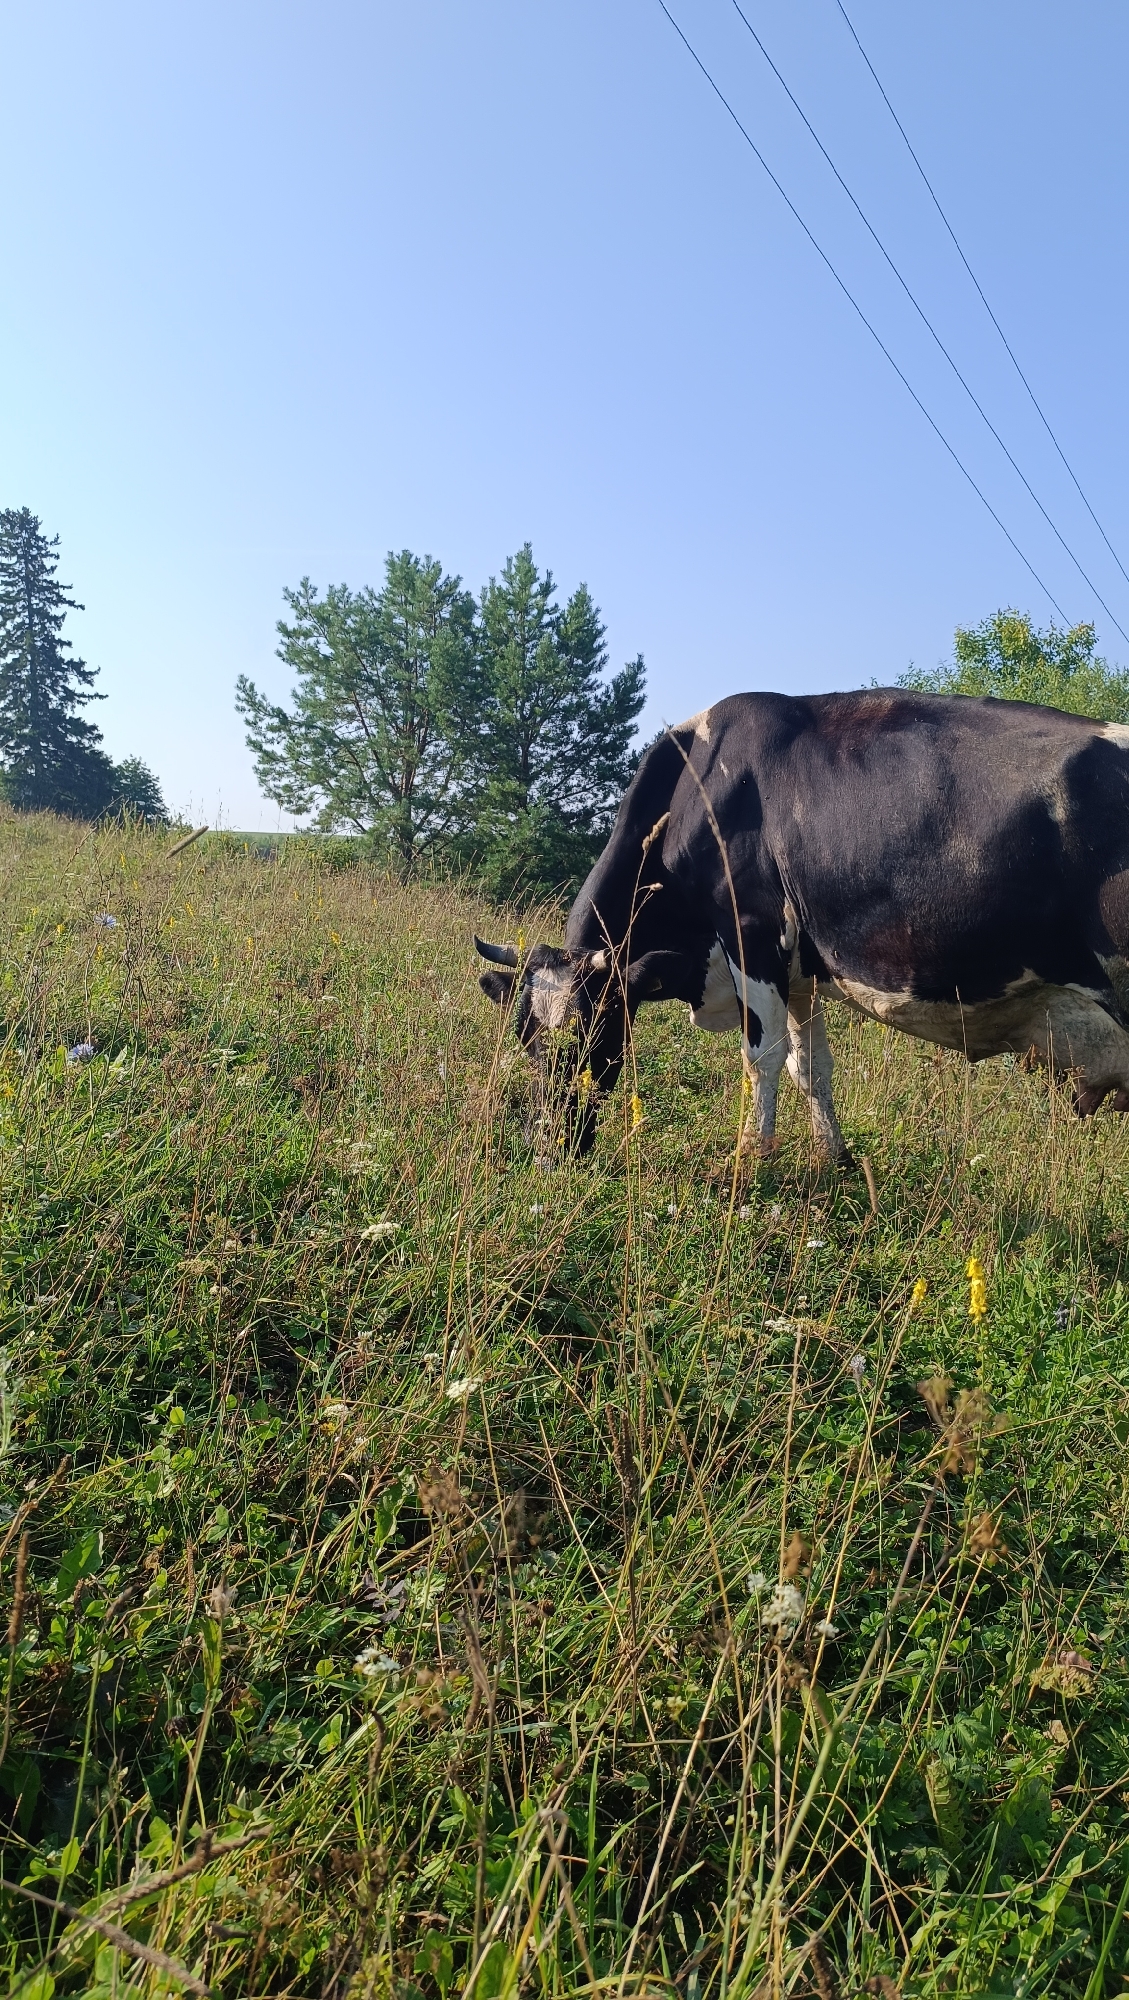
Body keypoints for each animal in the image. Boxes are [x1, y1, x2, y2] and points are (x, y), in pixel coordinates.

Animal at [475, 689, 1129, 1163]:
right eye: (523, 1040)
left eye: (586, 1040)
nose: (545, 1148)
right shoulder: (800, 973)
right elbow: (811, 1068)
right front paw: (833, 1161)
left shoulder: (751, 935)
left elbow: (763, 1057)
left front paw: (749, 1163)